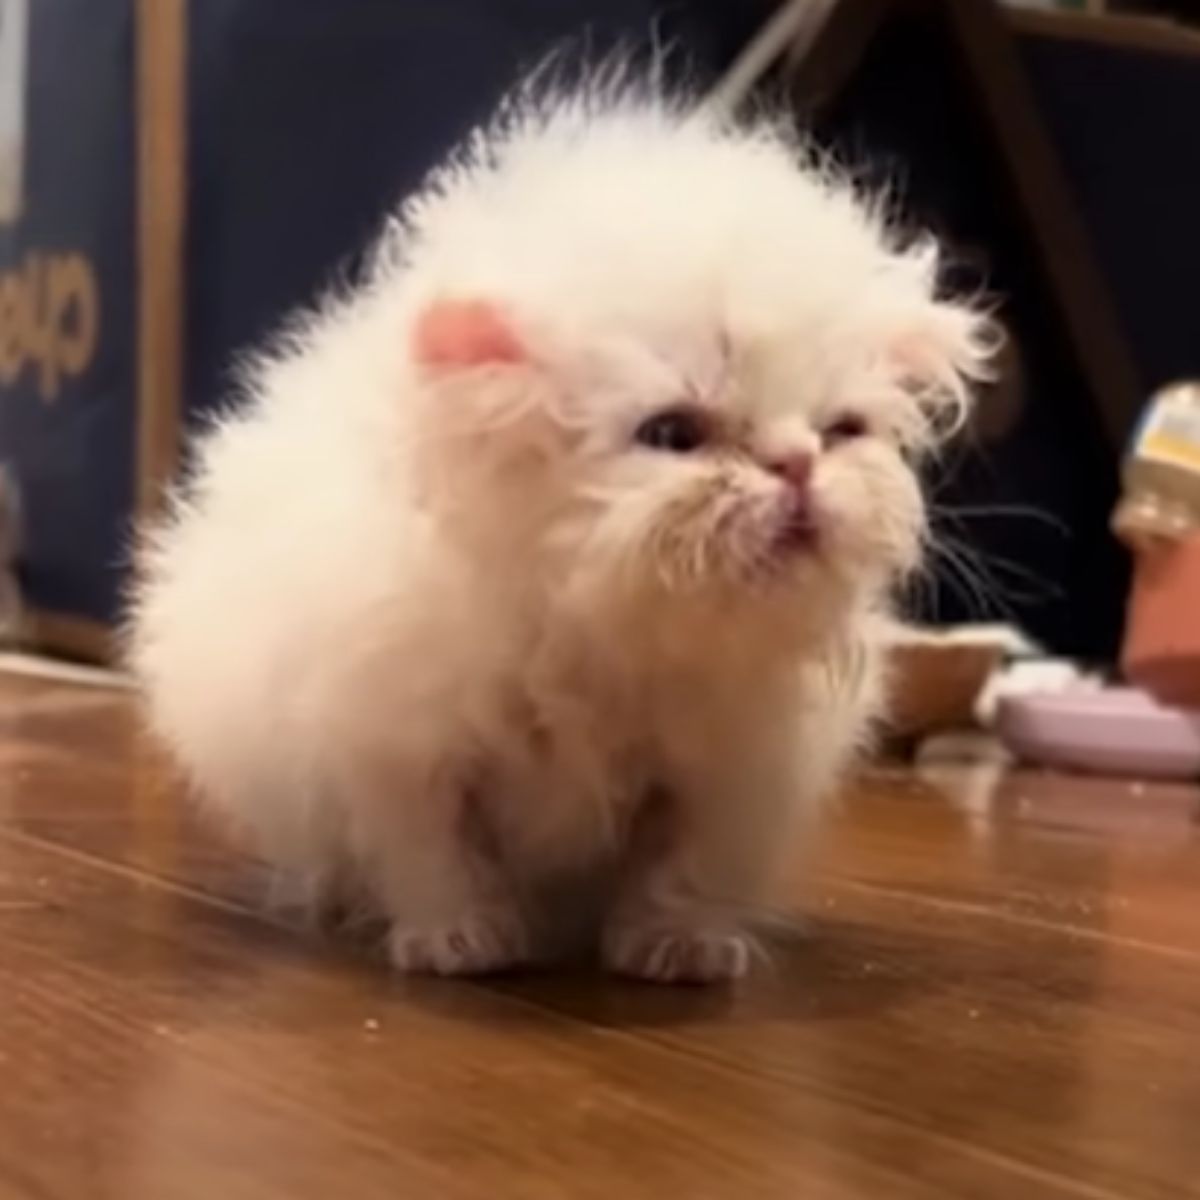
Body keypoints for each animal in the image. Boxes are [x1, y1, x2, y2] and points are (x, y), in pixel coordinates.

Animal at [129, 84, 993, 984]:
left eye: (841, 431)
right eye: (674, 433)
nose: (795, 464)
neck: (599, 625)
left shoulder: (722, 773)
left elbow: (680, 865)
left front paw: (678, 951)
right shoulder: (399, 750)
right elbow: (436, 858)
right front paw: (460, 944)